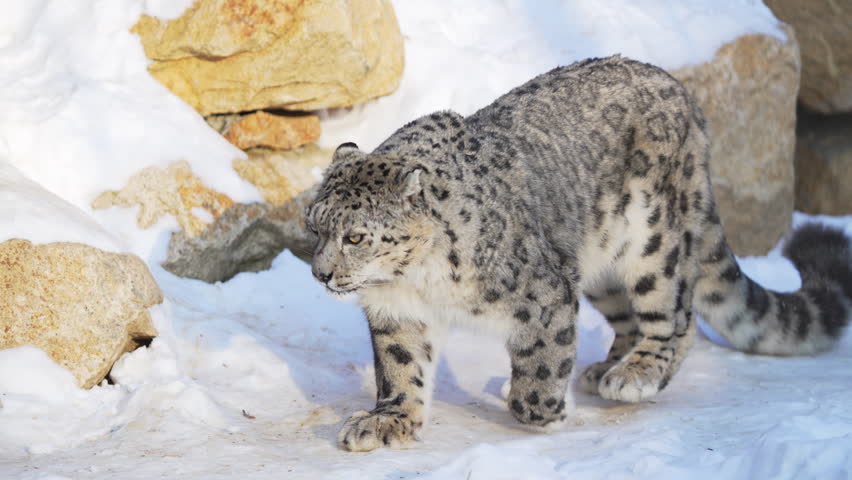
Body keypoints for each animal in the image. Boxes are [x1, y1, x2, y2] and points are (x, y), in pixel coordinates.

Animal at [304, 55, 852, 452]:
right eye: (314, 226)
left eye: (356, 237)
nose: (321, 275)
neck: (417, 281)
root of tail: (682, 93)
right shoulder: (395, 313)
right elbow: (401, 368)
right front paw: (388, 421)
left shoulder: (543, 293)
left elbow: (540, 367)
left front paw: (548, 413)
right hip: (601, 269)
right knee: (633, 316)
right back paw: (605, 366)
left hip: (654, 243)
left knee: (677, 315)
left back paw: (635, 374)